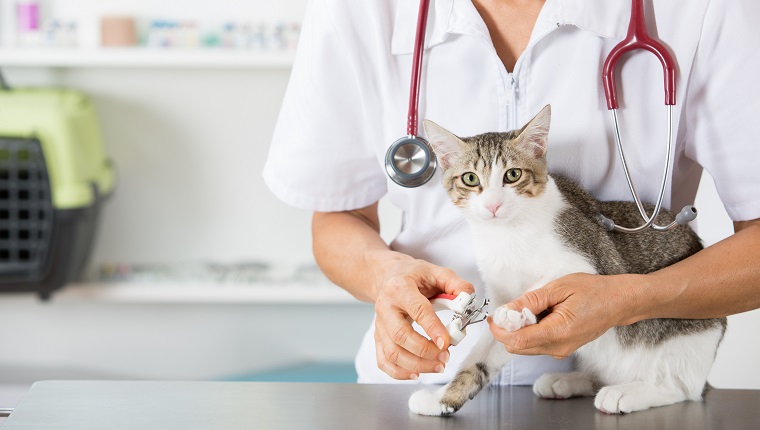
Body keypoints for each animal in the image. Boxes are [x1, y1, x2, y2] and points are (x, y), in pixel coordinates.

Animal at [412, 105, 728, 416]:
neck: (508, 233)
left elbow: (545, 281)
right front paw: (442, 399)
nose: (493, 205)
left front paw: (517, 312)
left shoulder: (589, 258)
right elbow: (478, 361)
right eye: (470, 179)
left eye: (512, 175)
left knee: (681, 388)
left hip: (689, 336)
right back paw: (568, 381)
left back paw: (627, 392)